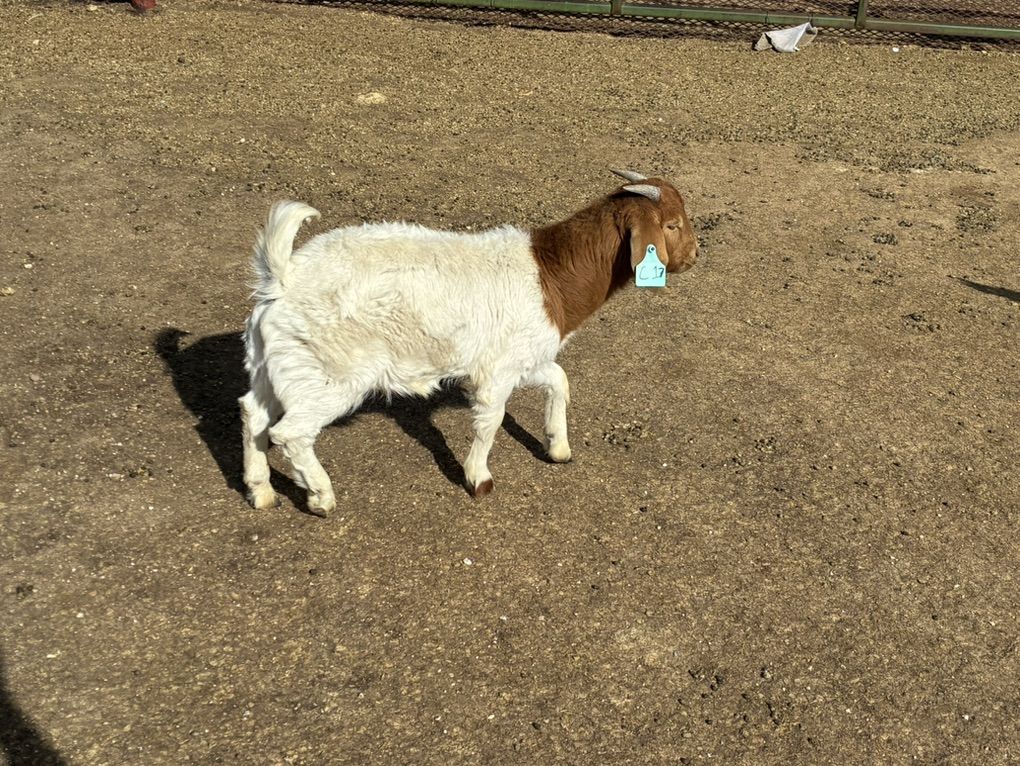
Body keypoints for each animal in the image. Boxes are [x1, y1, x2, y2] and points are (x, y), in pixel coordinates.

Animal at [239, 170, 698, 515]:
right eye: (671, 224)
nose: (695, 256)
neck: (549, 275)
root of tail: (283, 278)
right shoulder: (496, 369)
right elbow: (490, 421)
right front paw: (479, 478)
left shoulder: (526, 357)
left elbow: (559, 381)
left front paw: (558, 447)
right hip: (332, 372)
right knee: (291, 432)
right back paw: (321, 496)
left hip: (276, 364)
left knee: (252, 413)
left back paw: (261, 490)